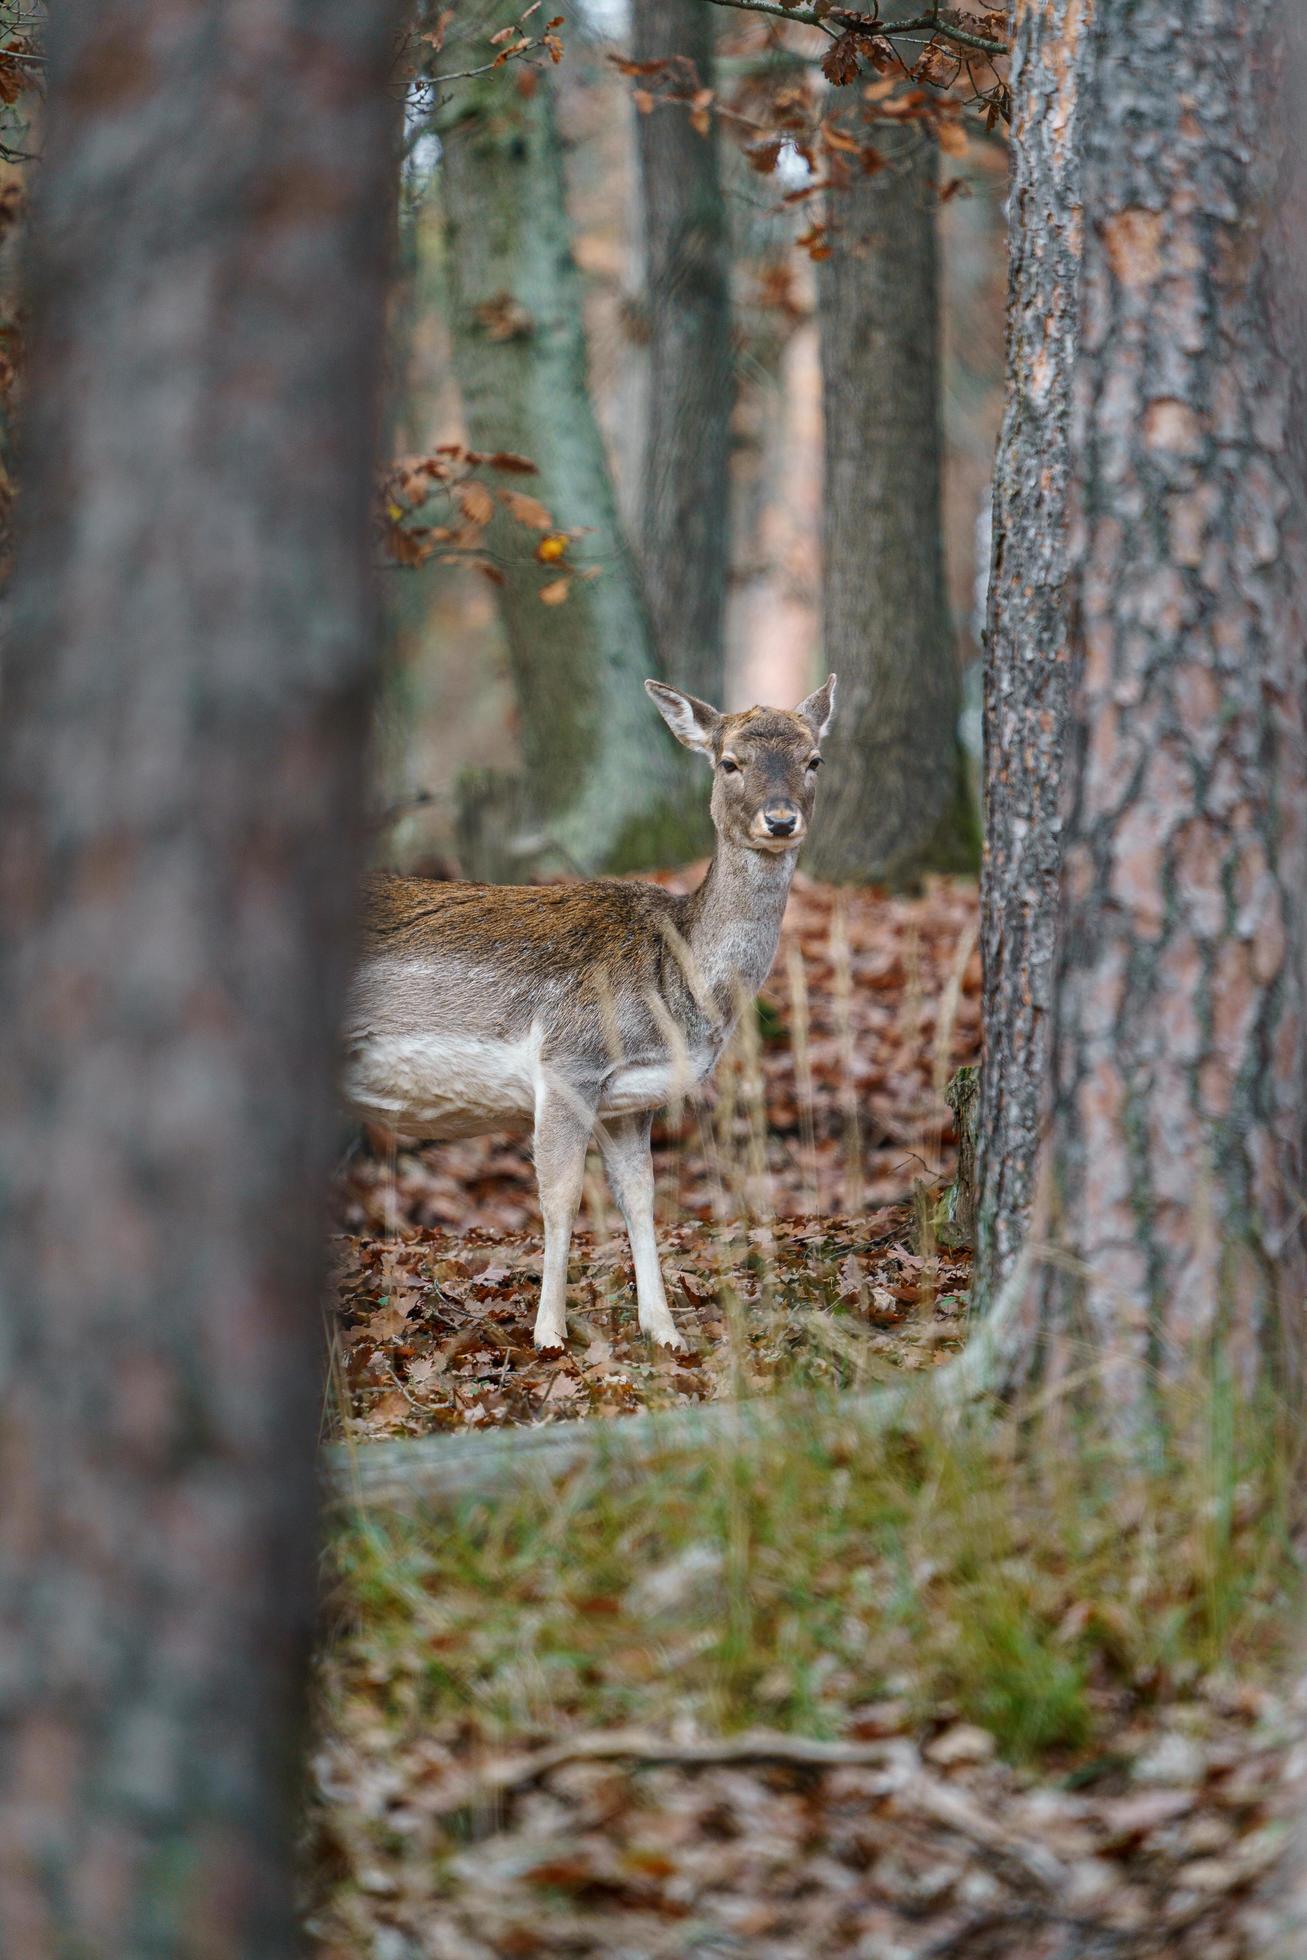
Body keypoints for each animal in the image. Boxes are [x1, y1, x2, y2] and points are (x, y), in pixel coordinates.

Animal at [344, 674, 838, 1348]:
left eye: (813, 759)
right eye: (729, 762)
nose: (781, 819)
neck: (678, 988)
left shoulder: (631, 1099)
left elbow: (642, 1196)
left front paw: (665, 1331)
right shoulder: (568, 1062)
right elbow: (561, 1197)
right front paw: (549, 1335)